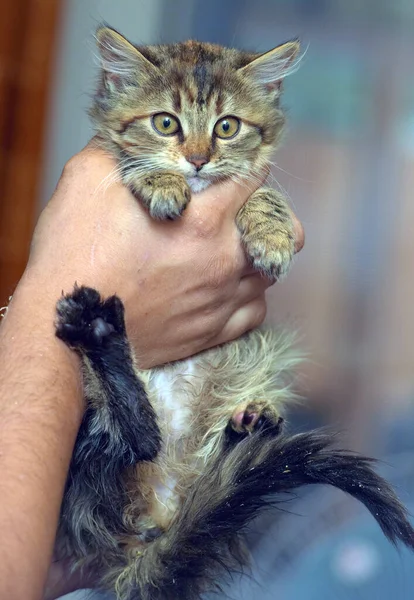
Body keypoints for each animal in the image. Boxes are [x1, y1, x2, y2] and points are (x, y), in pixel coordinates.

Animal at [54, 27, 414, 600]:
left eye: (227, 127)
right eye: (166, 123)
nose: (198, 161)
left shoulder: (256, 179)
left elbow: (265, 193)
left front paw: (270, 232)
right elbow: (130, 163)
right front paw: (161, 183)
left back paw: (248, 424)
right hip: (85, 448)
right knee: (133, 437)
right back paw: (101, 334)